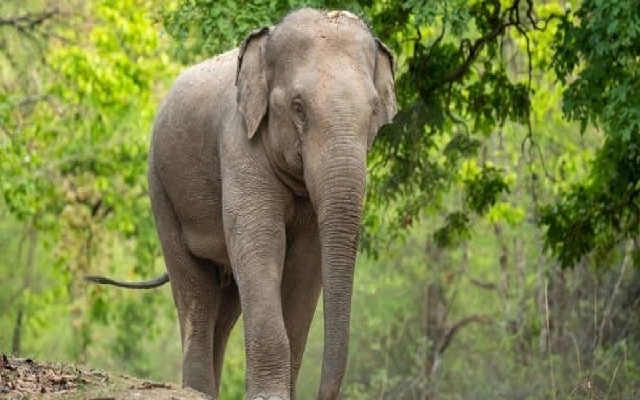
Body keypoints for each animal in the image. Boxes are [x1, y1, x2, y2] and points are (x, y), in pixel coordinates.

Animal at [85, 8, 396, 400]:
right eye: (298, 108)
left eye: (373, 111)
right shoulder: (237, 144)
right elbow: (261, 241)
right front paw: (270, 396)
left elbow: (305, 263)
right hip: (160, 190)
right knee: (197, 294)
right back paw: (198, 390)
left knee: (226, 305)